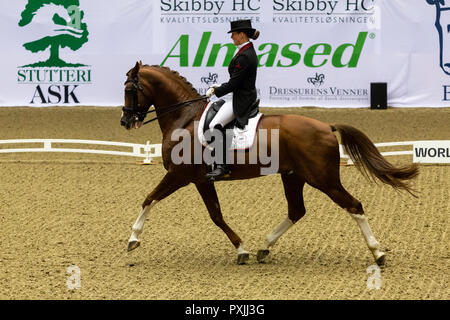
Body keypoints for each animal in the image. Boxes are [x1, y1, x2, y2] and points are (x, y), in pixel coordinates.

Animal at [120, 61, 418, 266]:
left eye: (129, 89)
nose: (124, 121)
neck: (185, 118)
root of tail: (326, 126)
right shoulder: (201, 180)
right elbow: (216, 215)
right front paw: (243, 250)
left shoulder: (180, 175)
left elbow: (150, 199)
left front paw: (133, 239)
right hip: (294, 175)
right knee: (297, 210)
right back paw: (265, 246)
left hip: (323, 179)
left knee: (354, 206)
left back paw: (378, 253)